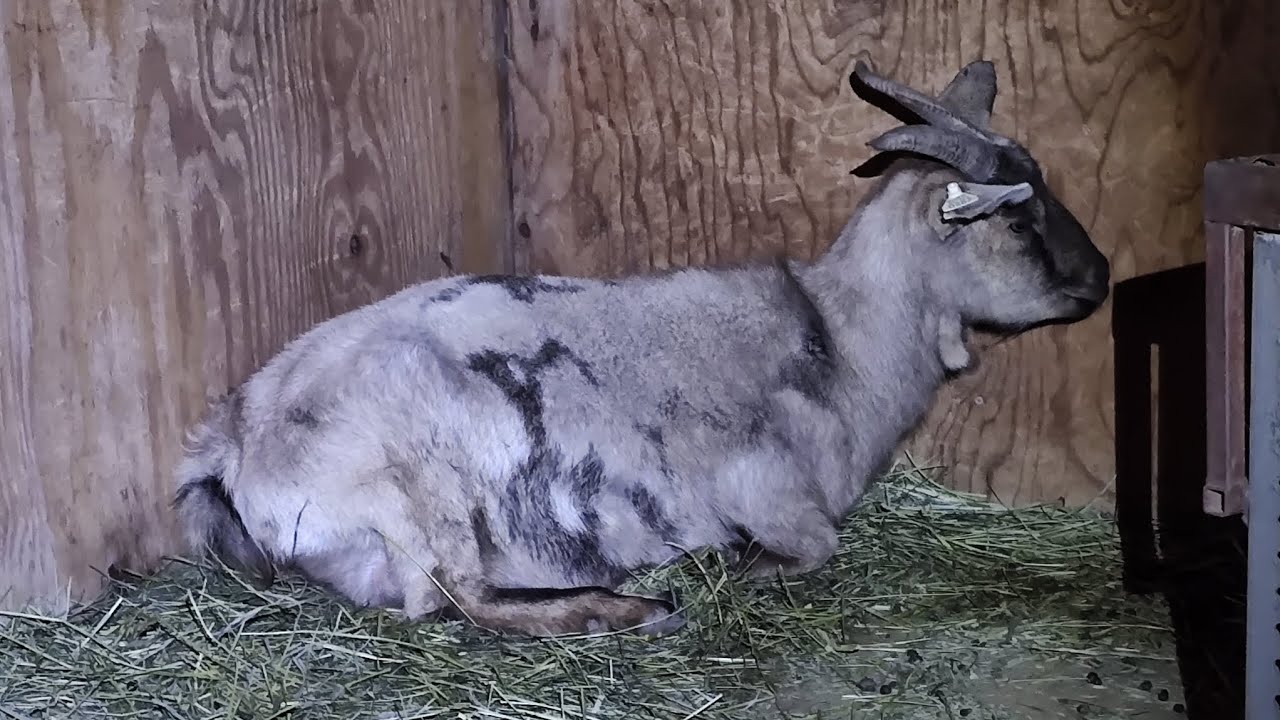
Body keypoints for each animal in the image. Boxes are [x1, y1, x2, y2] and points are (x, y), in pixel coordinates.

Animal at [174, 58, 1110, 637]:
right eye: (1018, 219)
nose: (1100, 278)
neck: (836, 338)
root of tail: (233, 443)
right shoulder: (766, 488)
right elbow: (816, 546)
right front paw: (739, 563)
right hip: (422, 490)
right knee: (455, 598)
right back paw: (626, 608)